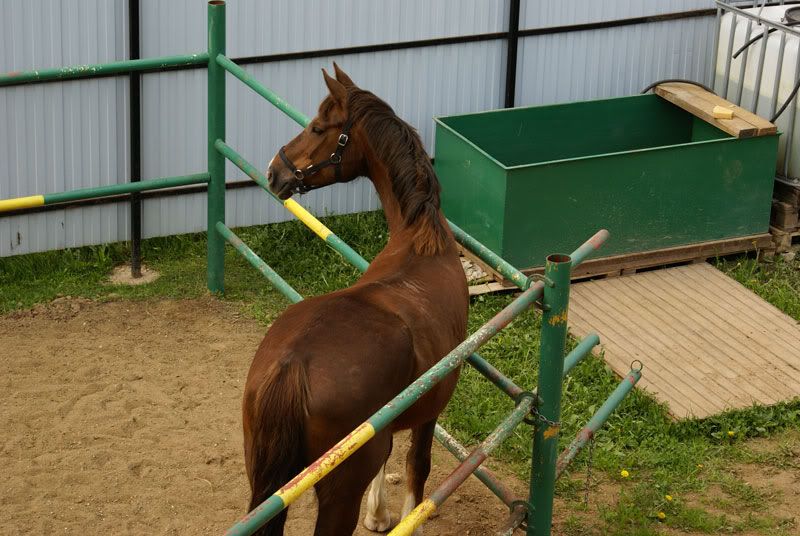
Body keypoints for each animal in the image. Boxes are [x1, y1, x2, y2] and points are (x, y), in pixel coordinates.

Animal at [244, 63, 468, 536]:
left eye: (317, 127)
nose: (274, 172)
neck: (420, 244)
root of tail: (292, 365)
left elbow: (391, 458)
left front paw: (379, 513)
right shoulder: (431, 408)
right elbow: (417, 465)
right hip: (337, 493)